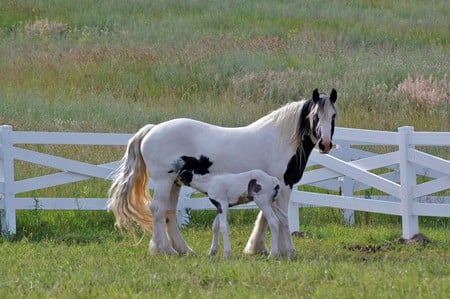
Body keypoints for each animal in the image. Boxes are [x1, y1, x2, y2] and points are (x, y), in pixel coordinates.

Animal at [108, 88, 338, 256]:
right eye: (316, 116)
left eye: (334, 115)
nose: (326, 144)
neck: (279, 139)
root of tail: (151, 129)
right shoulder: (282, 185)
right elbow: (280, 217)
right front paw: (285, 250)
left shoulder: (268, 188)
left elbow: (265, 217)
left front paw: (257, 247)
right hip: (165, 181)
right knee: (156, 210)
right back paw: (164, 250)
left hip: (174, 183)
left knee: (169, 212)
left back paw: (183, 249)